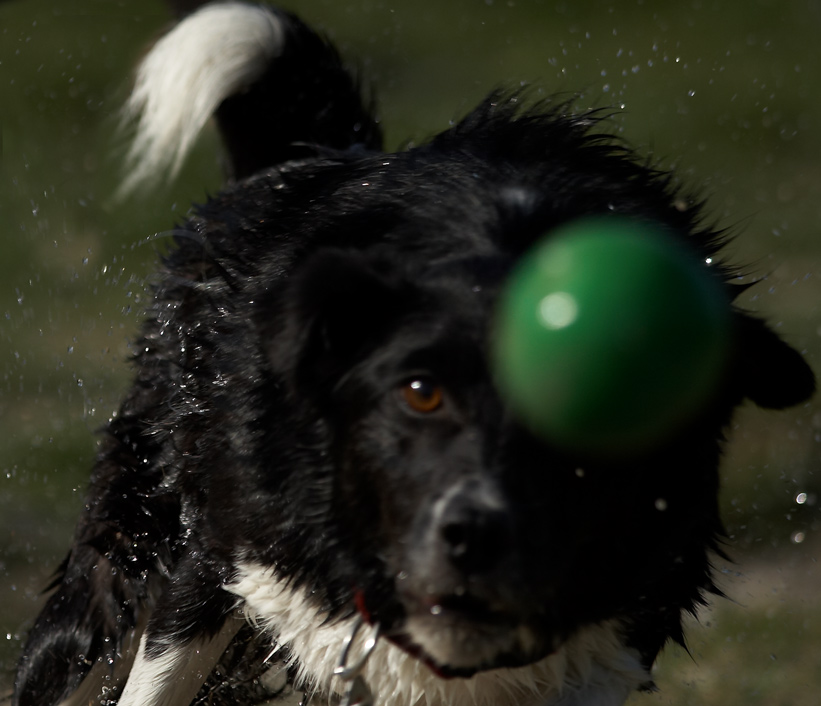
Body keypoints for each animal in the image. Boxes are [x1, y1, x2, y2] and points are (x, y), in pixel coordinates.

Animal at [11, 1, 812, 704]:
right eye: (419, 391)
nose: (472, 536)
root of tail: (334, 156)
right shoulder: (219, 563)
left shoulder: (614, 634)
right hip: (128, 551)